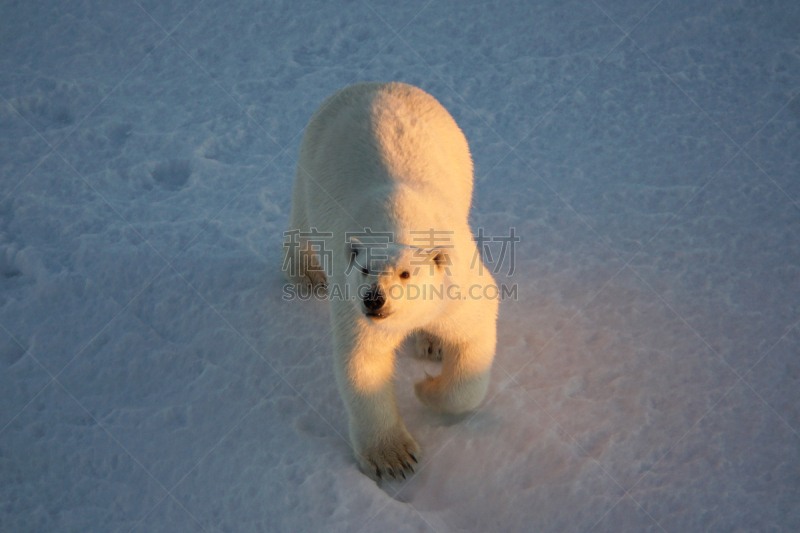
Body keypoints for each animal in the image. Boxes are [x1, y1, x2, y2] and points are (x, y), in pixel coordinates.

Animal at [284, 81, 496, 480]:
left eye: (406, 273)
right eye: (365, 269)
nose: (375, 299)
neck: (399, 219)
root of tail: (374, 84)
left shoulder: (458, 286)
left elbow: (473, 336)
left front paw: (426, 387)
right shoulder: (354, 307)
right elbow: (363, 363)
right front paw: (394, 459)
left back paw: (432, 343)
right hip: (312, 157)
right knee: (301, 222)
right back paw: (306, 274)